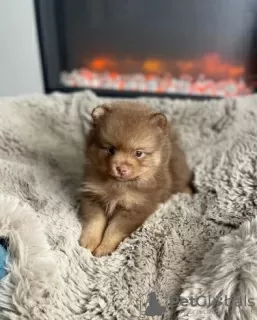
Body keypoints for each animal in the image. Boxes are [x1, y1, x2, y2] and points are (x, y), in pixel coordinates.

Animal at [79, 101, 191, 256]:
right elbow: (94, 222)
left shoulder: (135, 208)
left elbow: (114, 230)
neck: (119, 185)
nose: (121, 168)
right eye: (111, 149)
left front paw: (104, 248)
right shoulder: (93, 197)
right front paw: (89, 243)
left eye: (138, 153)